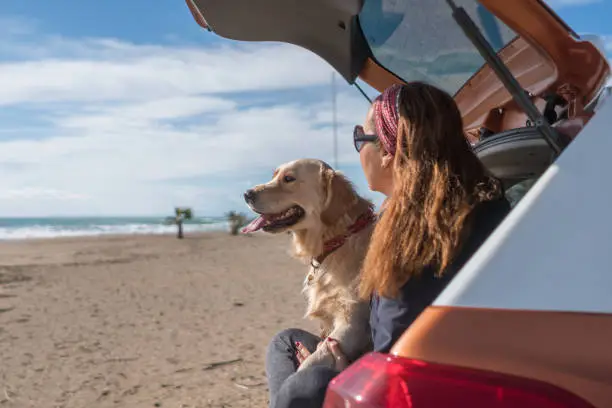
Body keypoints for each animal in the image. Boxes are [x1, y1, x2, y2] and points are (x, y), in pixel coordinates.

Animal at [241, 158, 376, 372]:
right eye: (274, 175)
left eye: (289, 178)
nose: (247, 194)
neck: (338, 240)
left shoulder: (352, 324)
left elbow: (308, 364)